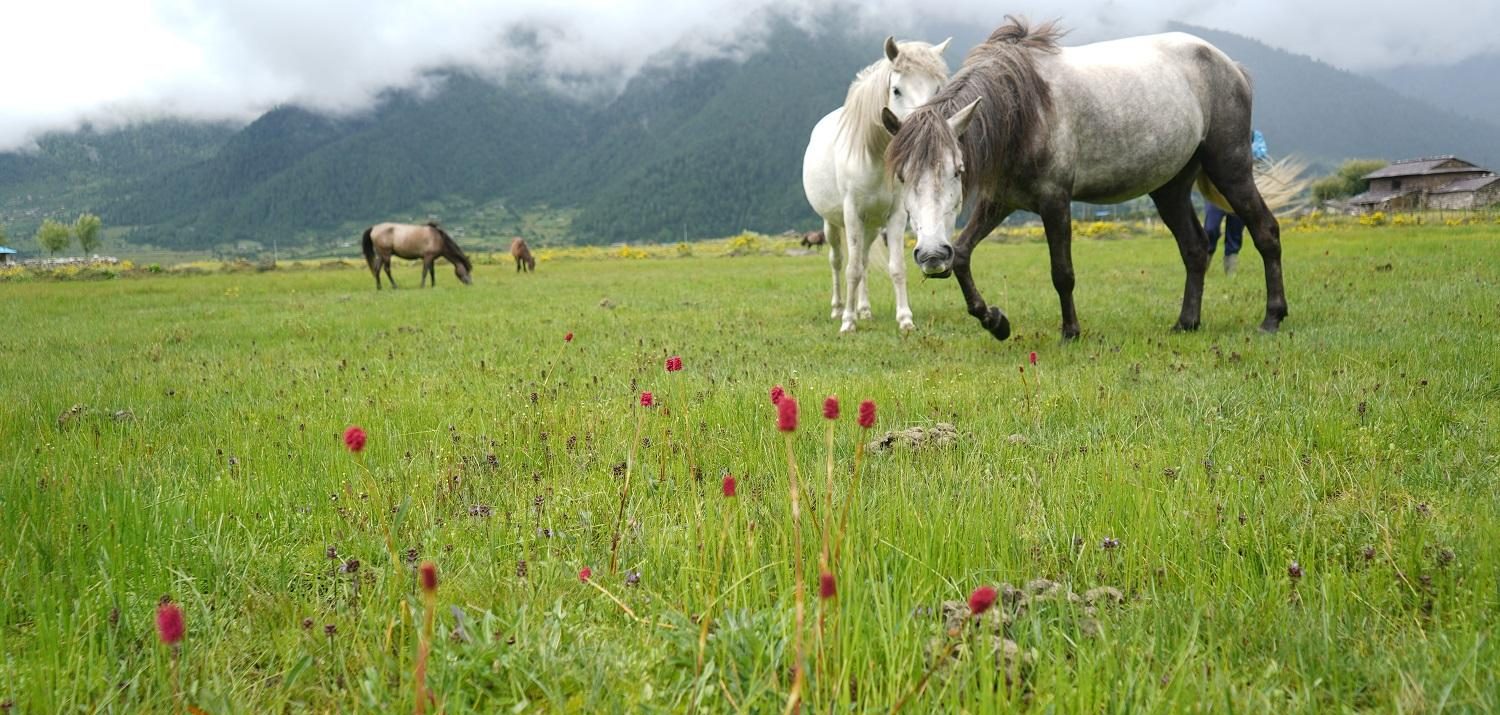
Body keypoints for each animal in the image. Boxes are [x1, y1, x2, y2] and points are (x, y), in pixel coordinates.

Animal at [798, 36, 948, 331]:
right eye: (897, 90)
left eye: (937, 88)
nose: (924, 133)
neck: (875, 158)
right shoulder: (852, 213)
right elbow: (851, 269)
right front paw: (848, 322)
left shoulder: (896, 216)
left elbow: (895, 267)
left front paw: (905, 319)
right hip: (832, 224)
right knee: (838, 261)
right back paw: (839, 308)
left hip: (870, 226)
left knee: (864, 261)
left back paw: (864, 309)